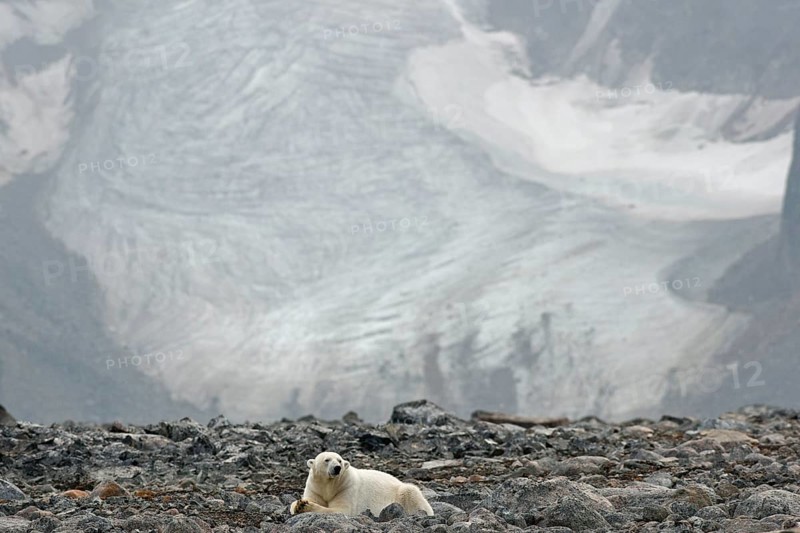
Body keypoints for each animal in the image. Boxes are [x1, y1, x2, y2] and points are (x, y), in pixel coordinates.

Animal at [289, 451, 434, 516]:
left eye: (339, 460)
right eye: (327, 460)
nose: (337, 468)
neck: (329, 485)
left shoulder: (346, 487)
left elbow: (341, 509)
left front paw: (305, 506)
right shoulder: (315, 488)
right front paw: (299, 504)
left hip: (402, 491)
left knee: (411, 492)